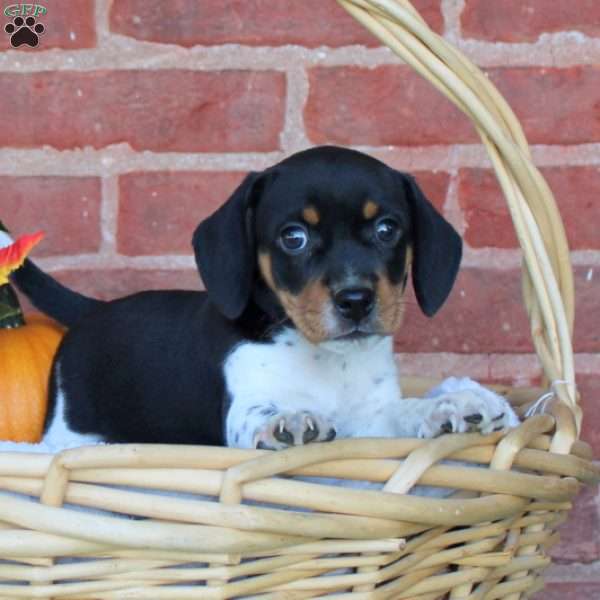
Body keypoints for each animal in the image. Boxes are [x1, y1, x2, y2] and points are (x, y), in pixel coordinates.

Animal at [7, 145, 516, 448]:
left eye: (388, 229)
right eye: (293, 237)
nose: (355, 300)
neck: (325, 359)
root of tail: (95, 308)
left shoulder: (368, 420)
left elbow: (405, 411)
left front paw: (452, 405)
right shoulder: (243, 407)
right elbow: (265, 414)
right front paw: (289, 420)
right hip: (69, 432)